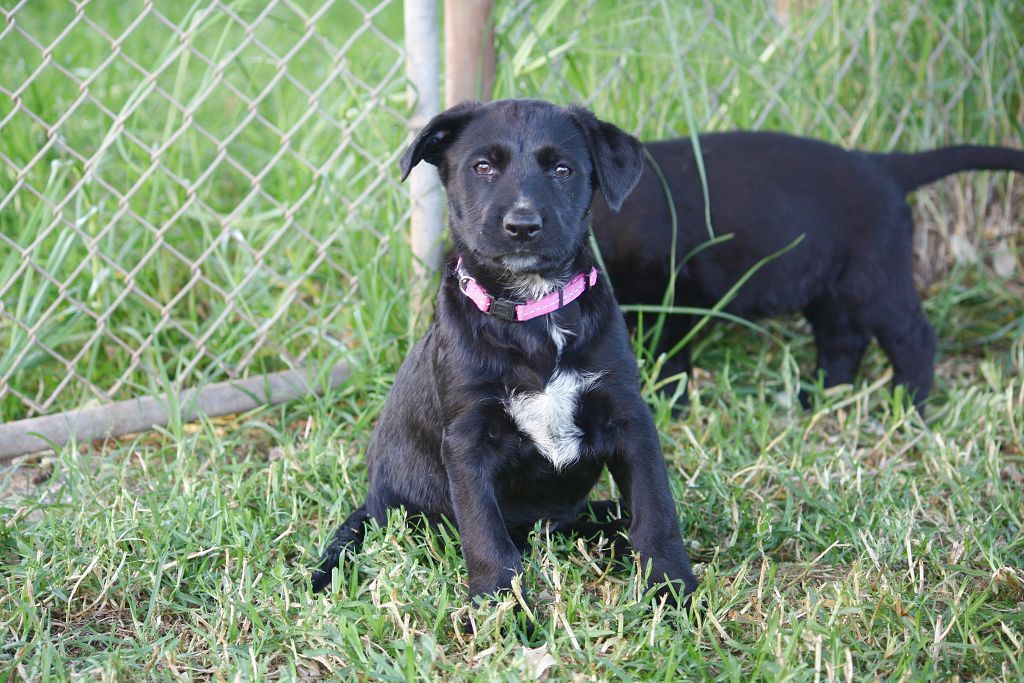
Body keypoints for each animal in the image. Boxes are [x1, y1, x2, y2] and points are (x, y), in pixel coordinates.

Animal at [310, 100, 699, 616]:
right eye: (482, 167)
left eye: (562, 170)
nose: (522, 226)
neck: (532, 312)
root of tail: (372, 502)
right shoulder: (468, 440)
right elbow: (485, 535)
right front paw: (503, 609)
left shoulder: (628, 416)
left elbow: (656, 511)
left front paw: (674, 590)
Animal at [592, 132, 1024, 410]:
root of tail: (881, 165)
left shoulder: (669, 294)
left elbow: (670, 358)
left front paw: (669, 404)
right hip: (829, 289)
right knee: (844, 342)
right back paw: (817, 397)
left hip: (874, 280)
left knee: (914, 338)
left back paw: (905, 406)